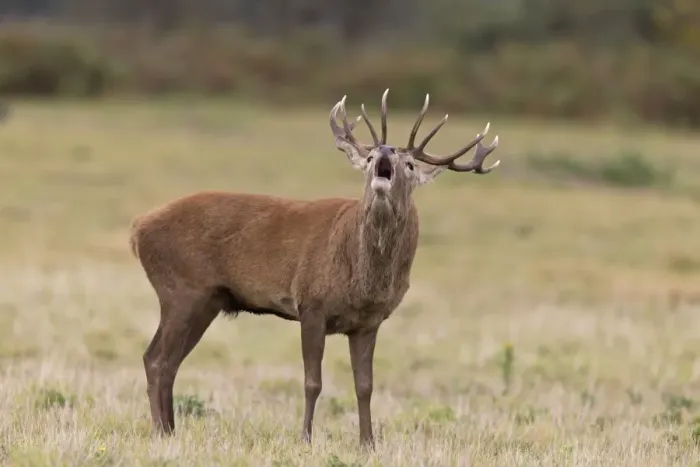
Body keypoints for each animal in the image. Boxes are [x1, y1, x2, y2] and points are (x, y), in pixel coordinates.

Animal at [129, 89, 500, 447]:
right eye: (368, 158)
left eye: (409, 164)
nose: (385, 150)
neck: (362, 280)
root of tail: (137, 228)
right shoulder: (311, 303)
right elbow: (312, 382)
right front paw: (305, 439)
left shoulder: (369, 322)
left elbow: (365, 386)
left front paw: (368, 443)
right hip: (181, 289)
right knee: (157, 359)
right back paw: (160, 431)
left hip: (207, 300)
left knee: (166, 360)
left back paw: (169, 430)